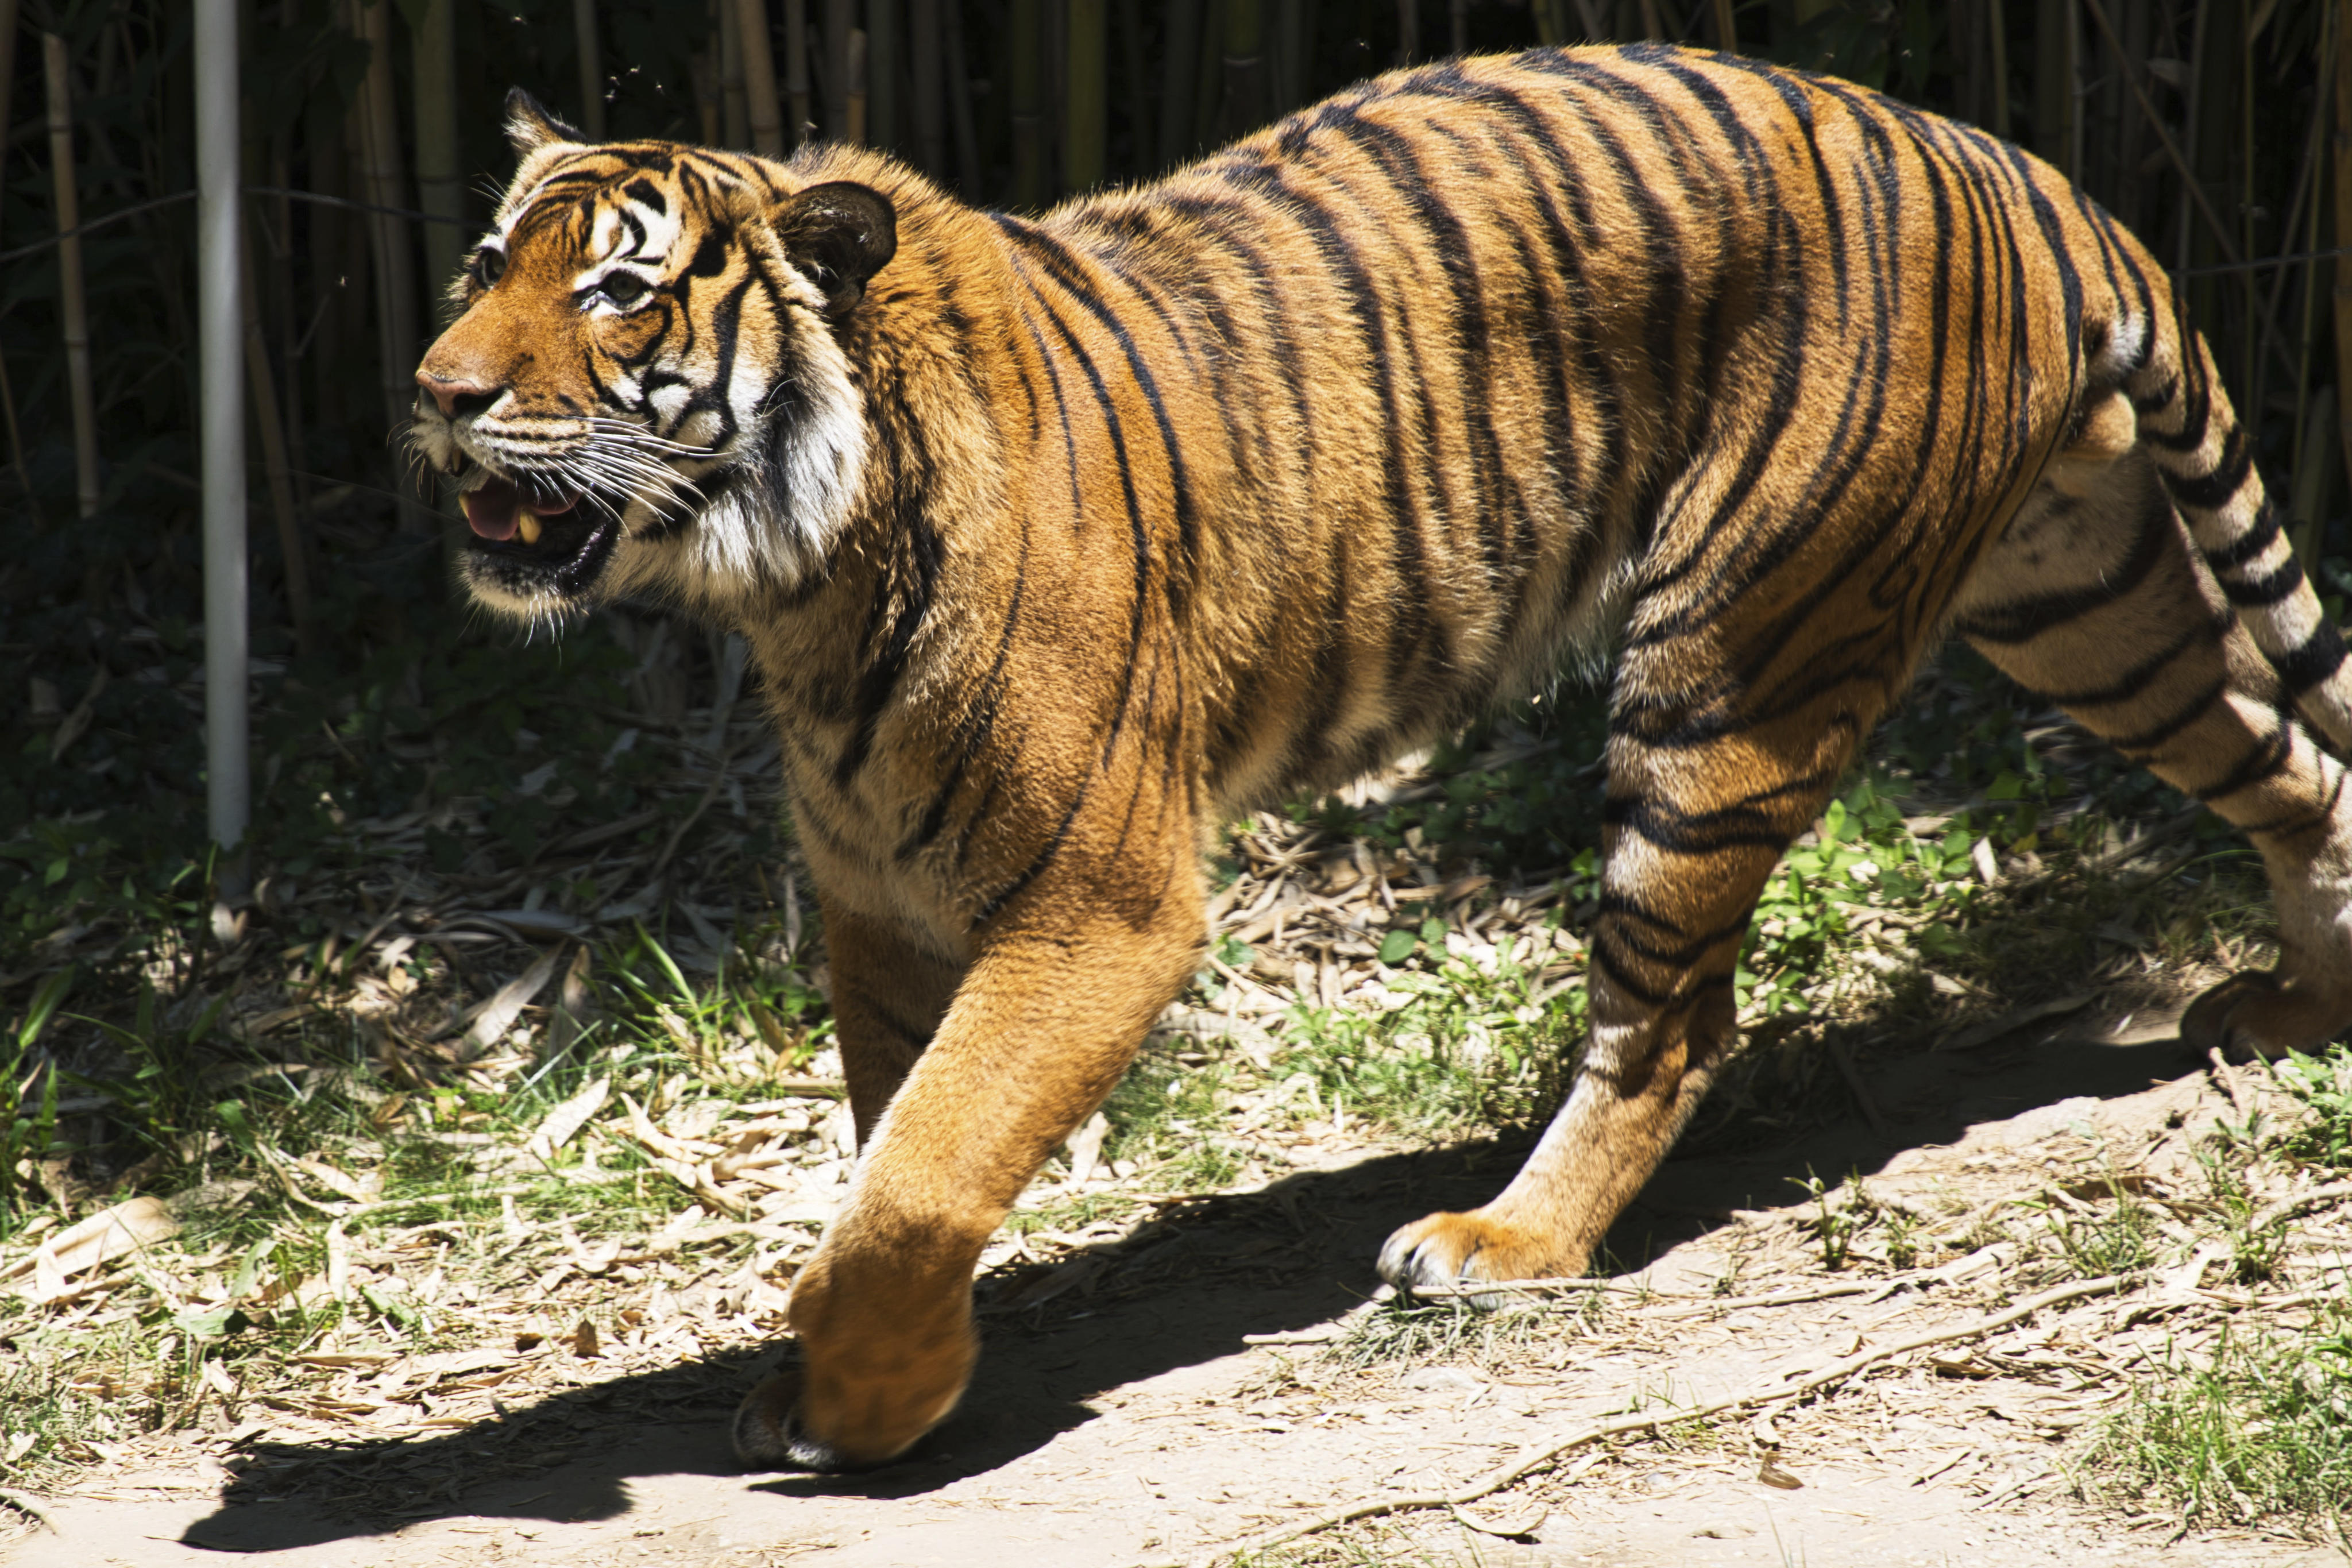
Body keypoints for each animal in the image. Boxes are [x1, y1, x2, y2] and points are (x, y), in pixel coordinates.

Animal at [404, 46, 2351, 1476]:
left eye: (620, 292)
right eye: (484, 270)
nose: (434, 392)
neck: (796, 584)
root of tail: (2012, 164)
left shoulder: (1101, 902)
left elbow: (924, 1166)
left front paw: (871, 1403)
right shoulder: (880, 907)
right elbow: (900, 1141)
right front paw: (868, 1375)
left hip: (1732, 661)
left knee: (1671, 1015)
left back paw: (1500, 1243)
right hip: (2078, 592)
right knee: (2287, 762)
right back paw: (2300, 1009)